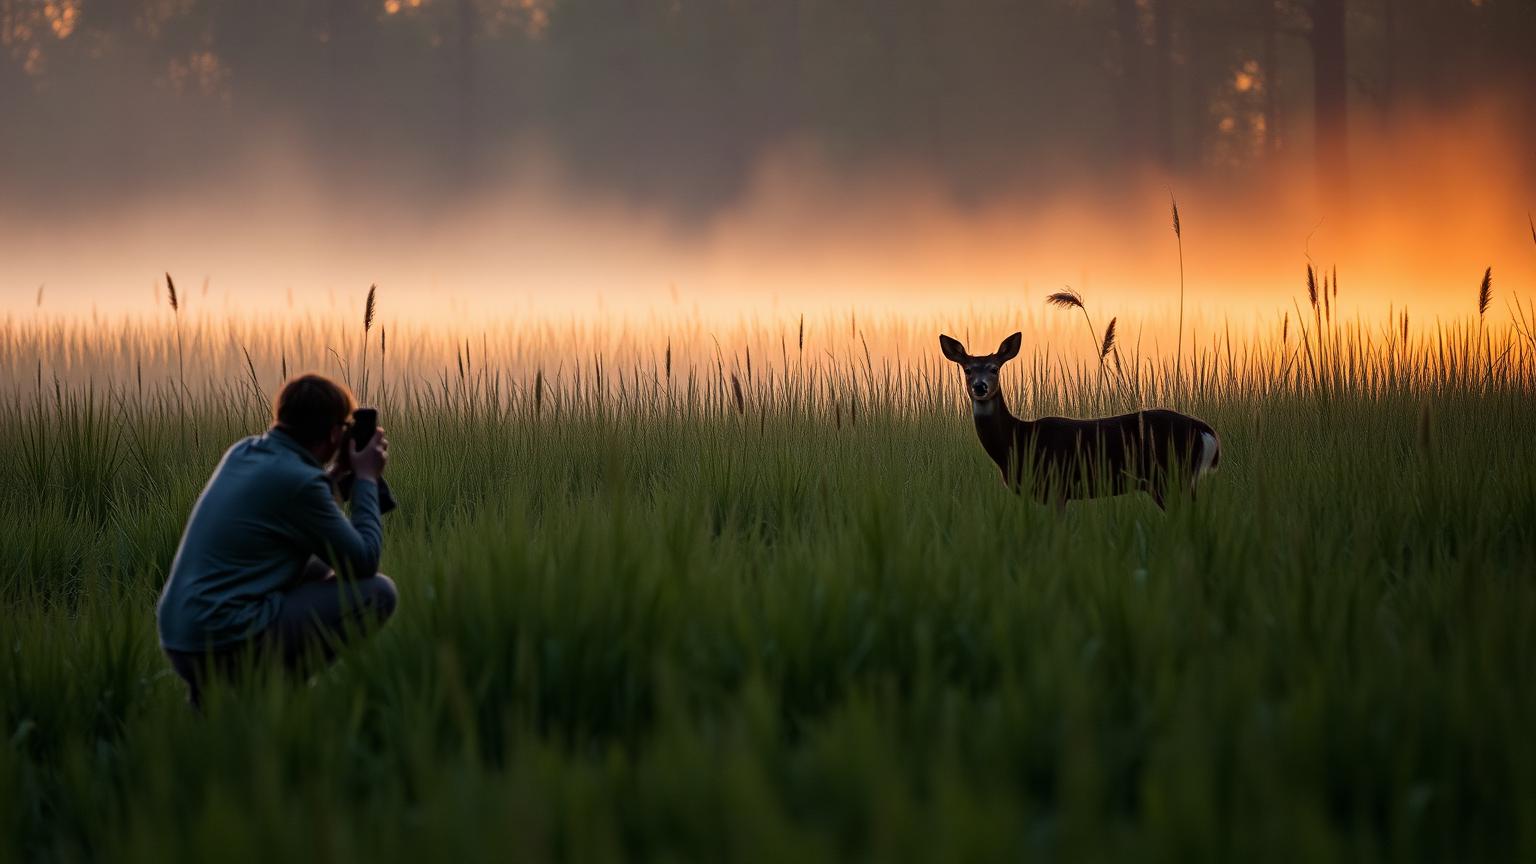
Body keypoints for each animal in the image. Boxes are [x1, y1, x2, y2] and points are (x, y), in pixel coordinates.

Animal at [939, 332, 1220, 512]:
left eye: (995, 368)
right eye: (967, 369)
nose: (980, 386)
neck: (1018, 438)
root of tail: (1207, 432)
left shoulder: (1056, 485)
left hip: (1172, 475)